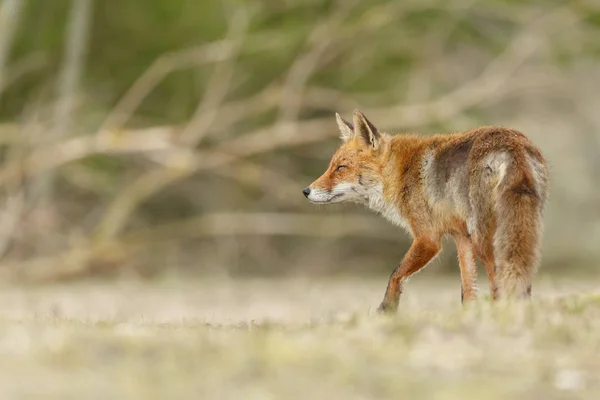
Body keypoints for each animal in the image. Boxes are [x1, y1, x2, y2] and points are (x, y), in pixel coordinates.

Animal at [304, 111, 548, 314]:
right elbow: (468, 290)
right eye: (331, 166)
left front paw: (387, 310)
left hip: (484, 239)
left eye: (341, 168)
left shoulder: (428, 238)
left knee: (499, 280)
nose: (306, 191)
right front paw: (467, 318)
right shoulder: (461, 236)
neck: (400, 173)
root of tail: (512, 141)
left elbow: (396, 273)